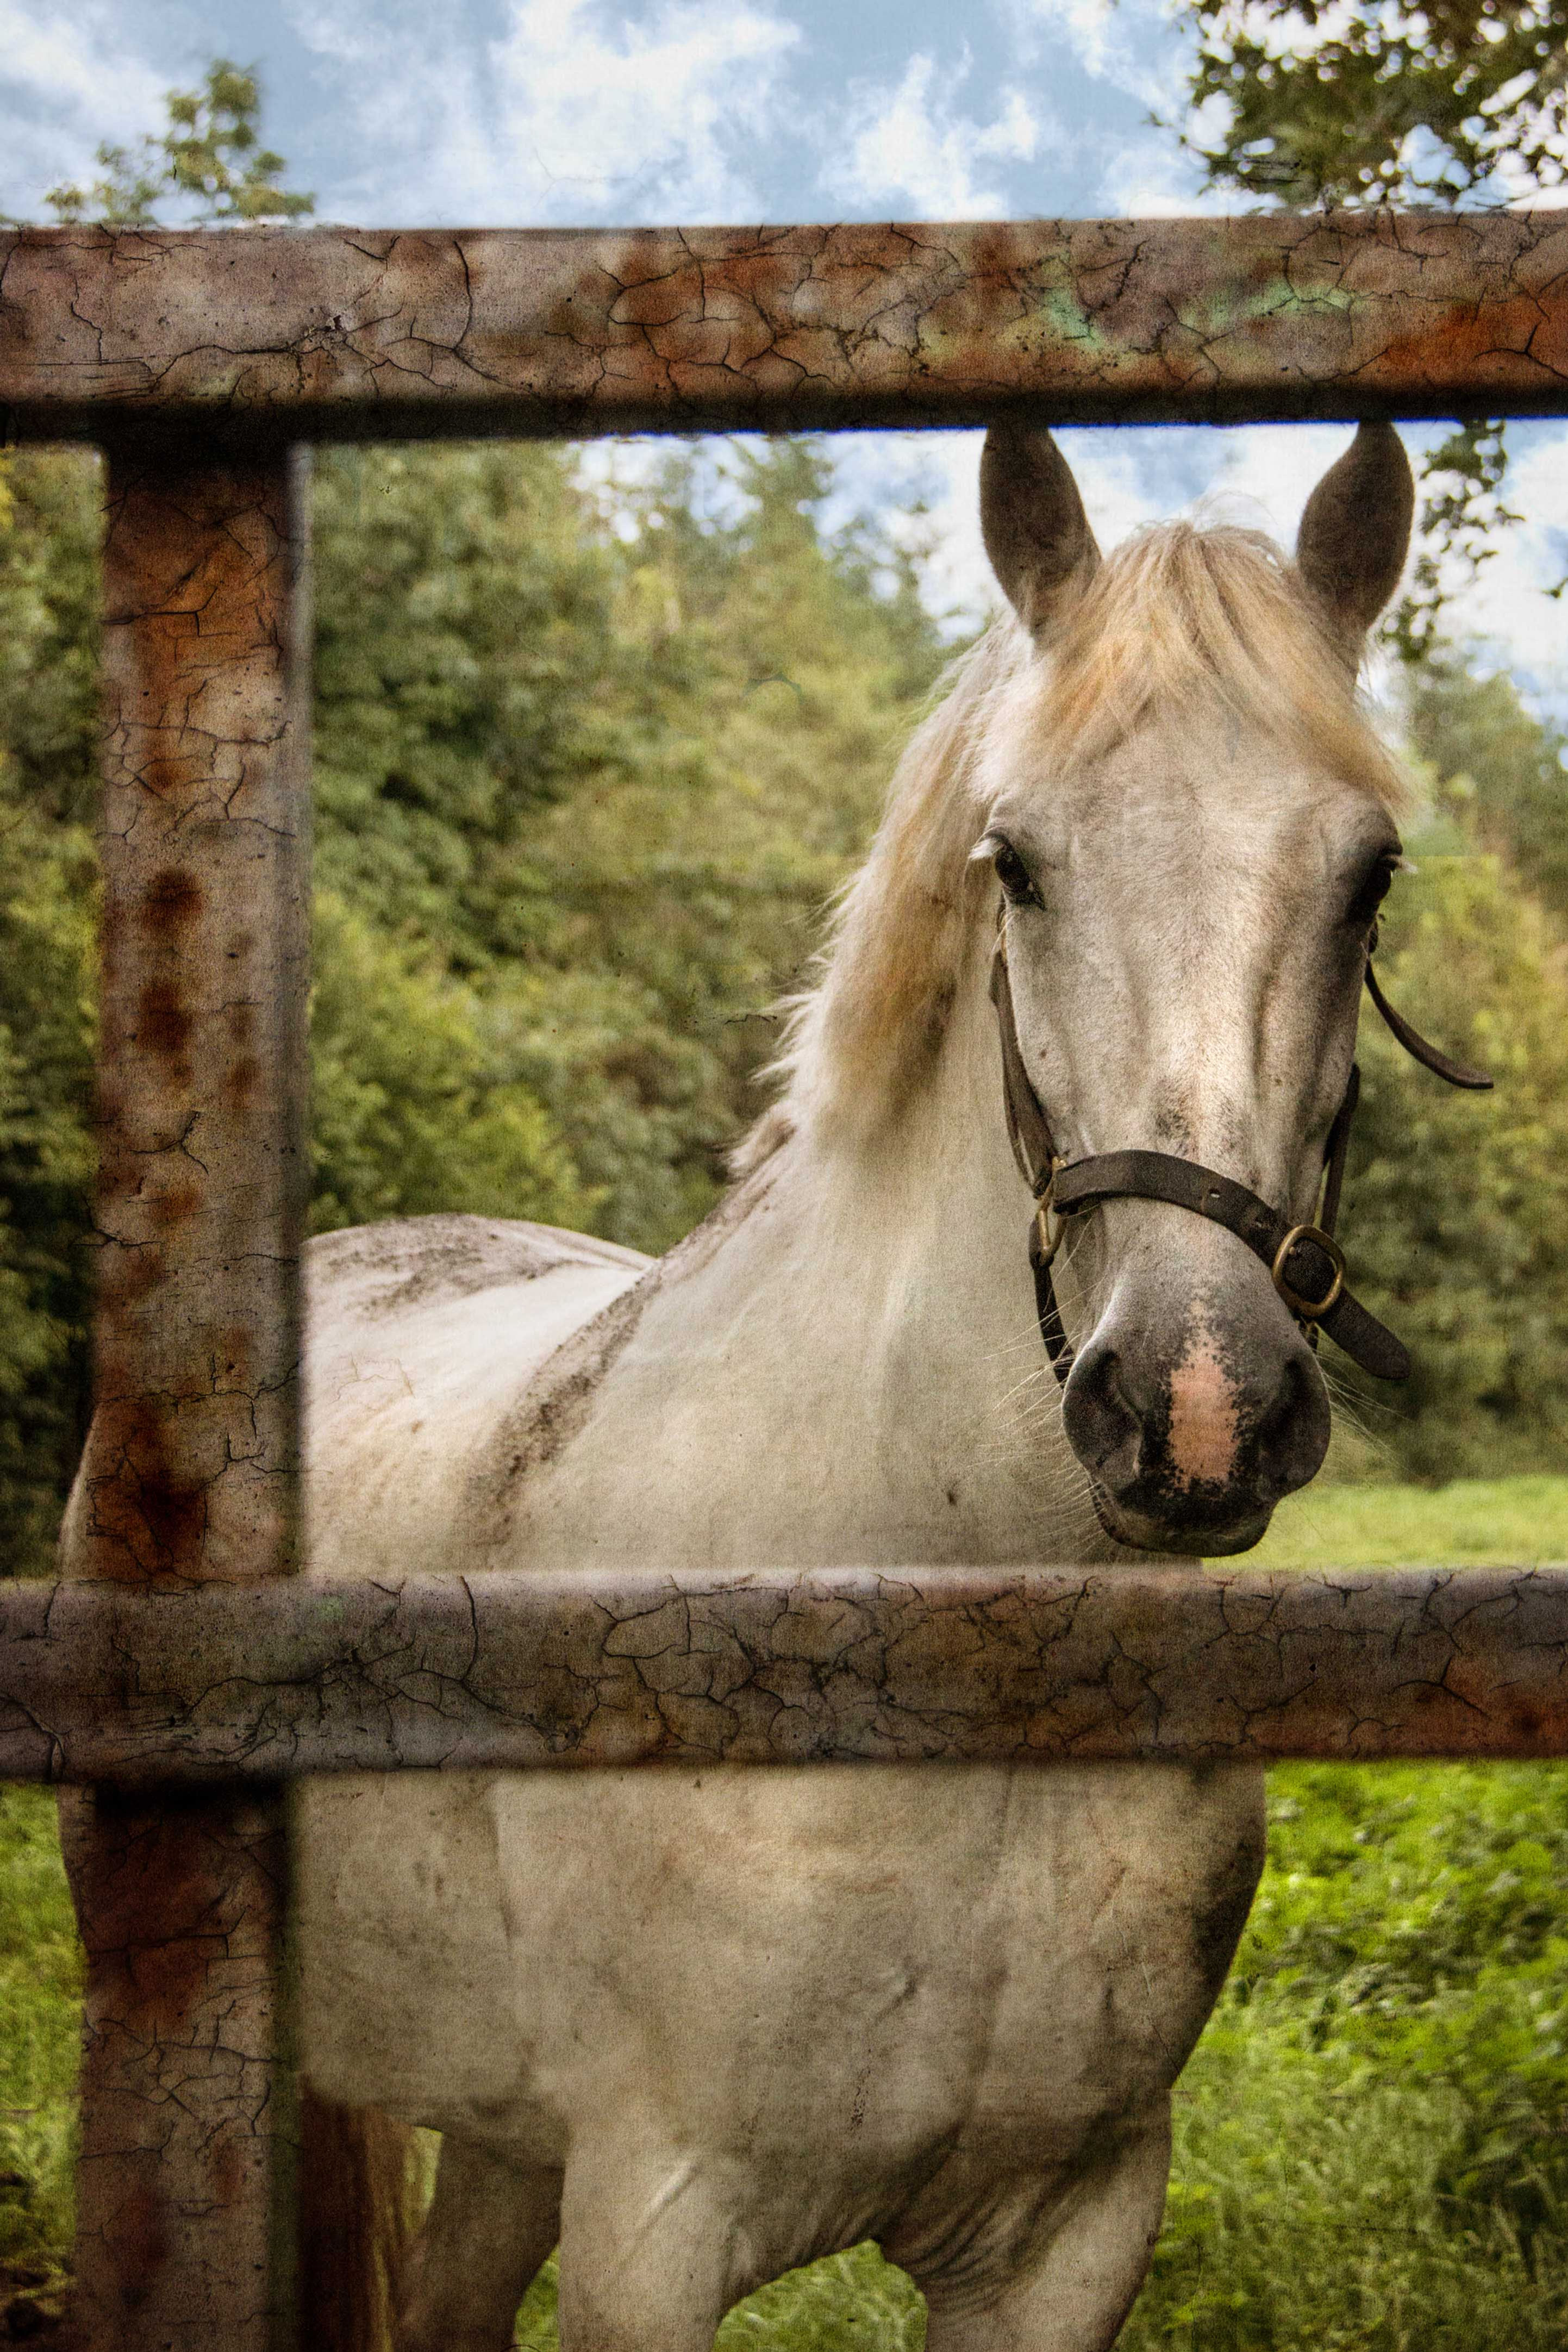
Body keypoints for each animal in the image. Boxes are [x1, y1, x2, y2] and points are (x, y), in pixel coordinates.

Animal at [297, 420, 1417, 2352]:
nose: (1194, 1404)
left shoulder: (1069, 2229)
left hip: (502, 2130)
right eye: (1015, 861)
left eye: (1368, 877)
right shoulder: (653, 2222)